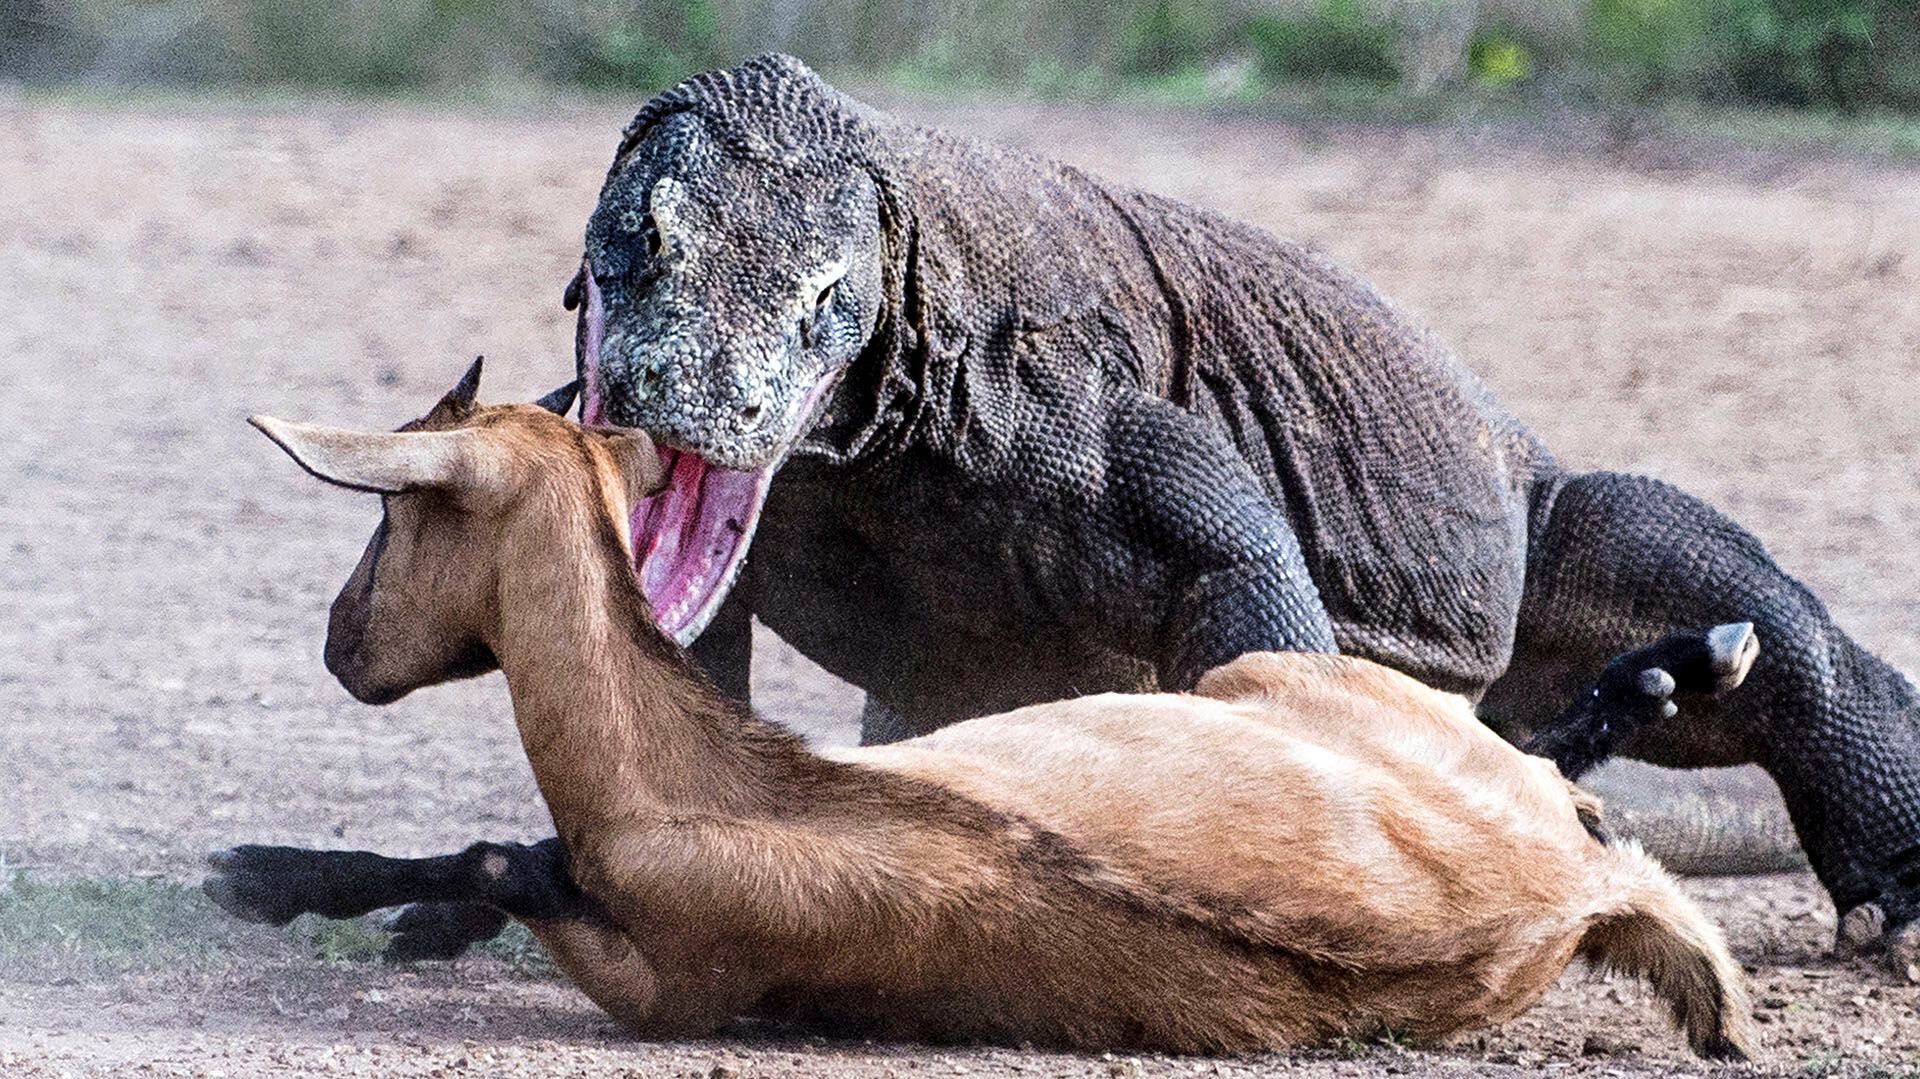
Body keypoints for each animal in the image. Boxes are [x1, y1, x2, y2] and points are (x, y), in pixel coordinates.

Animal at [224, 366, 1758, 1052]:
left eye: (393, 509)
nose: (342, 642)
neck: (698, 784)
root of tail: (1576, 892)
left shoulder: (665, 984)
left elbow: (497, 853)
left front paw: (258, 874)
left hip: (1255, 672)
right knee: (1557, 757)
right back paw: (1686, 662)